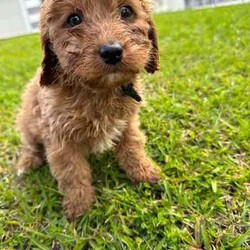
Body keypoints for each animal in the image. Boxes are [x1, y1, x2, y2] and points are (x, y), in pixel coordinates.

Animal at [16, 0, 160, 219]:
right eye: (74, 19)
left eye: (126, 11)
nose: (112, 52)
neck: (99, 91)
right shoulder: (60, 140)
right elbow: (72, 172)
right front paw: (79, 205)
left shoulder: (128, 122)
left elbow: (133, 146)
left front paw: (143, 171)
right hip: (27, 123)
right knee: (31, 145)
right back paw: (28, 162)